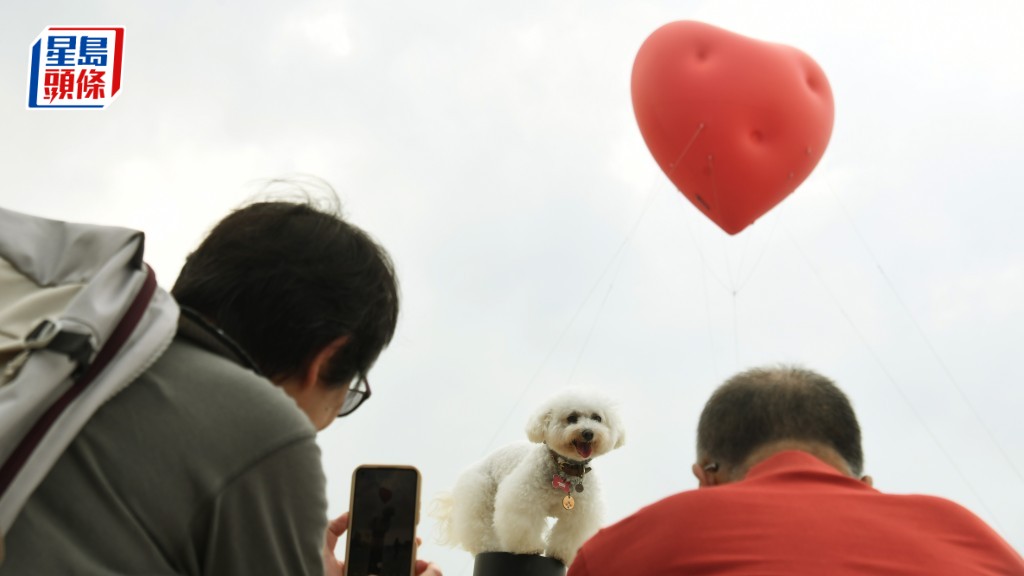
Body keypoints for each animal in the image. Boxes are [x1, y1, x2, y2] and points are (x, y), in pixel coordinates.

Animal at [434, 387, 622, 561]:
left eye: (597, 418)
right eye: (571, 418)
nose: (588, 433)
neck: (565, 470)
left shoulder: (580, 514)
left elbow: (569, 534)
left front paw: (561, 554)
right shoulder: (524, 501)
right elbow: (524, 525)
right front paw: (530, 548)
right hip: (479, 497)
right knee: (479, 528)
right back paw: (490, 546)